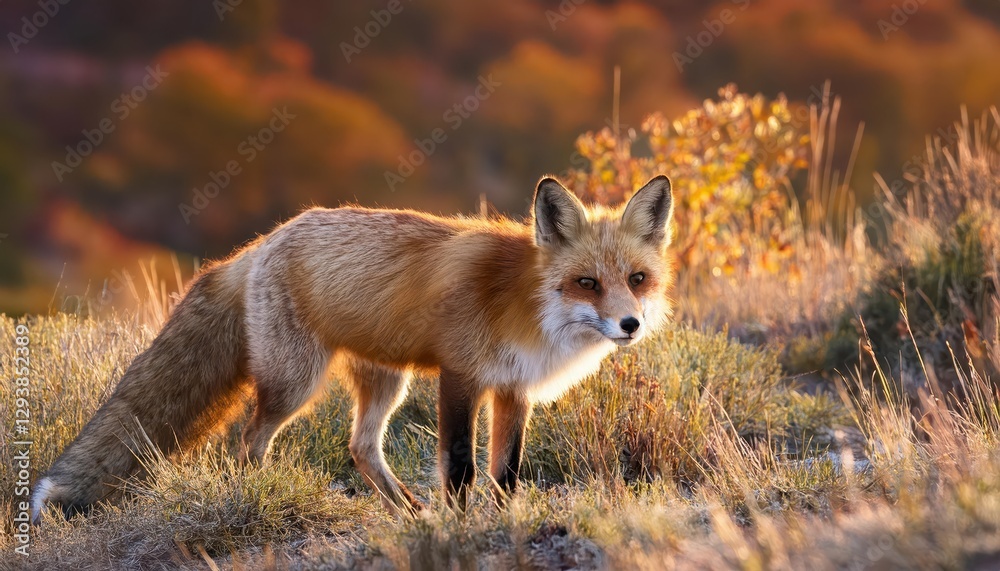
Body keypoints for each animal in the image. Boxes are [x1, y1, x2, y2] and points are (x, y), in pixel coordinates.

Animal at [31, 174, 675, 522]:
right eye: (587, 282)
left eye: (637, 279)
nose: (629, 324)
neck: (527, 305)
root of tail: (261, 242)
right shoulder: (461, 376)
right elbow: (461, 466)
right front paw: (461, 525)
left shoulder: (514, 390)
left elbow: (507, 472)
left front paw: (498, 520)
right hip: (295, 383)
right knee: (248, 440)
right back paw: (257, 494)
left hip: (387, 381)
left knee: (362, 447)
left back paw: (408, 513)